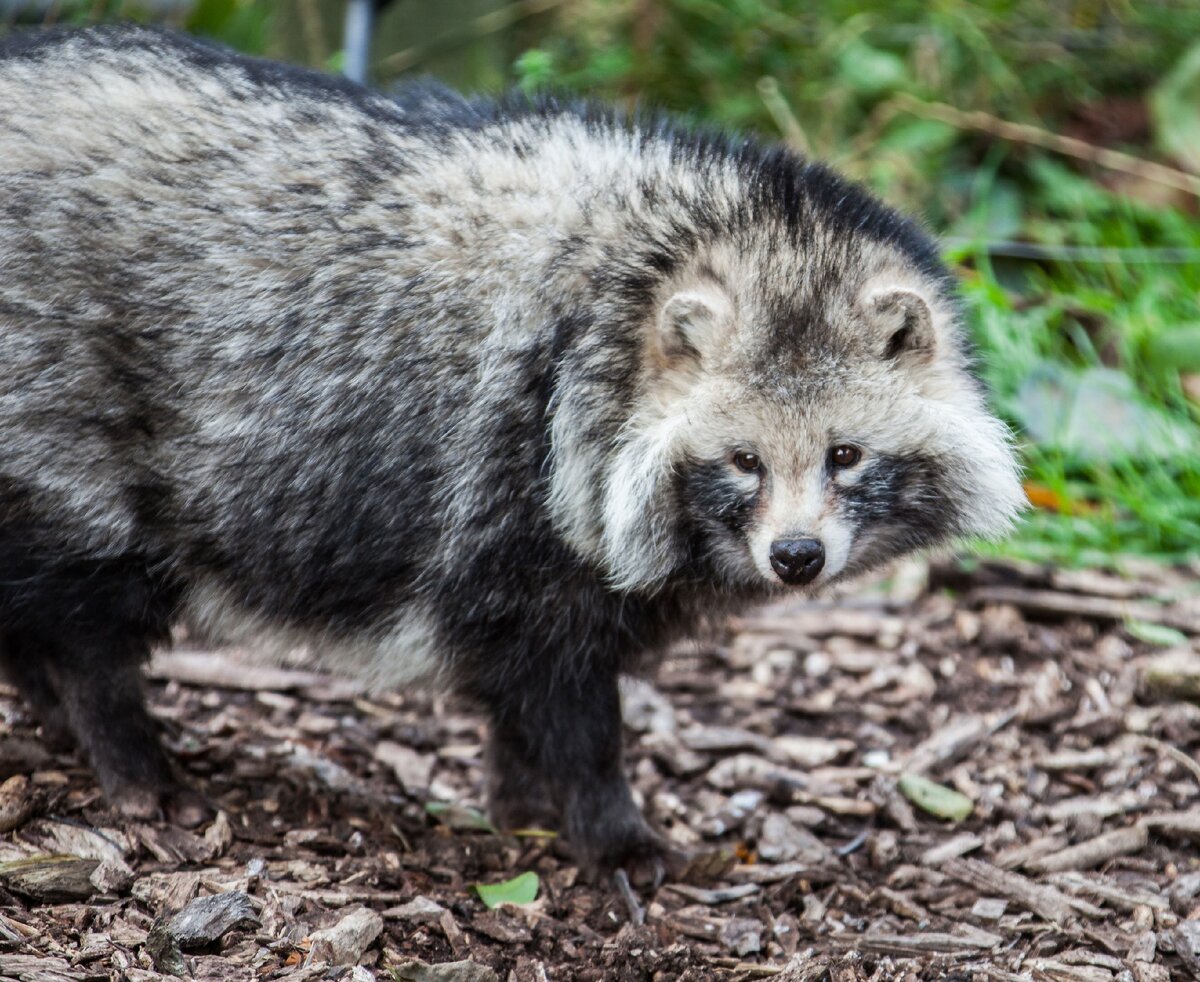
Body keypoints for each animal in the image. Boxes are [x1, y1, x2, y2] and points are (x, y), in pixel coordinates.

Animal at [0, 28, 1022, 873]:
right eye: (743, 460)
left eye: (845, 455)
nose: (797, 557)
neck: (650, 273)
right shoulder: (517, 483)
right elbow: (564, 697)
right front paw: (609, 828)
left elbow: (517, 691)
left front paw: (522, 804)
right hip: (61, 424)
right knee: (91, 612)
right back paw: (121, 747)